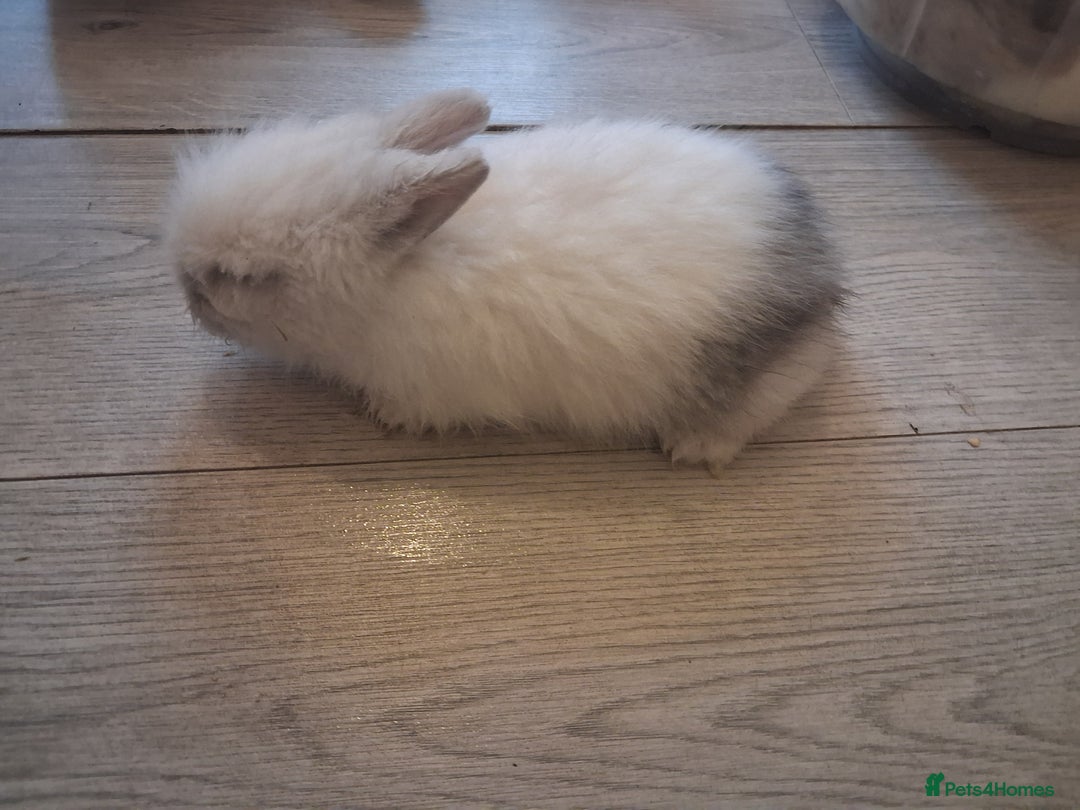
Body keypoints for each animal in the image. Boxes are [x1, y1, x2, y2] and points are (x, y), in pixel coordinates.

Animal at [164, 89, 846, 474]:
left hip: (751, 383)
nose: (187, 291)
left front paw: (386, 416)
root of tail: (820, 264)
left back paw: (694, 447)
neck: (405, 270)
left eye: (244, 276)